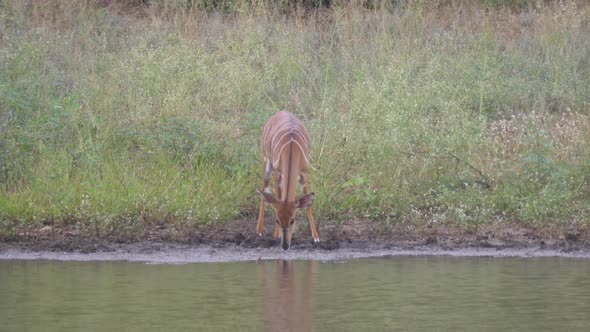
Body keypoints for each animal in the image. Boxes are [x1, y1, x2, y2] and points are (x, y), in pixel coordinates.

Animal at [258, 110, 322, 250]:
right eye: (277, 219)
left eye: (293, 220)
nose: (285, 245)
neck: (292, 150)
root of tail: (282, 111)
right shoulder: (278, 173)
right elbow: (277, 197)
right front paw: (276, 235)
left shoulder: (304, 173)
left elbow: (308, 204)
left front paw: (316, 236)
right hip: (266, 162)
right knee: (264, 190)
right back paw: (259, 230)